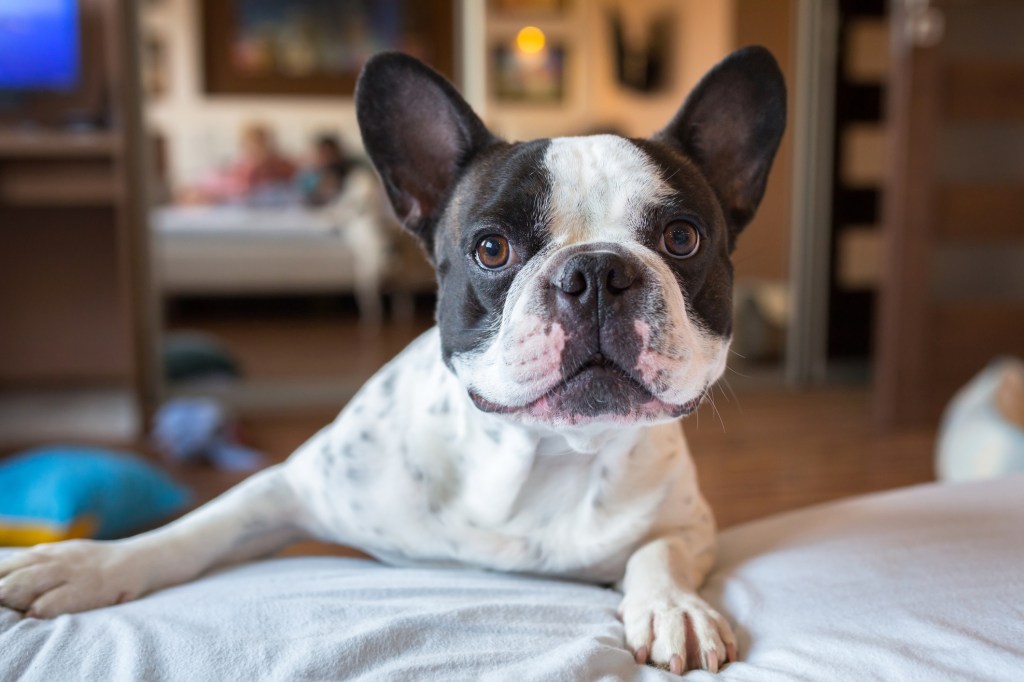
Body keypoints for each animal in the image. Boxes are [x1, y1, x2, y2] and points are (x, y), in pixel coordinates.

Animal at [0, 47, 782, 675]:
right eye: (490, 248)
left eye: (681, 238)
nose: (595, 272)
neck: (539, 455)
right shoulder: (288, 490)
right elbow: (195, 529)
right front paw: (81, 562)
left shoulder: (689, 523)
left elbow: (661, 551)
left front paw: (675, 607)